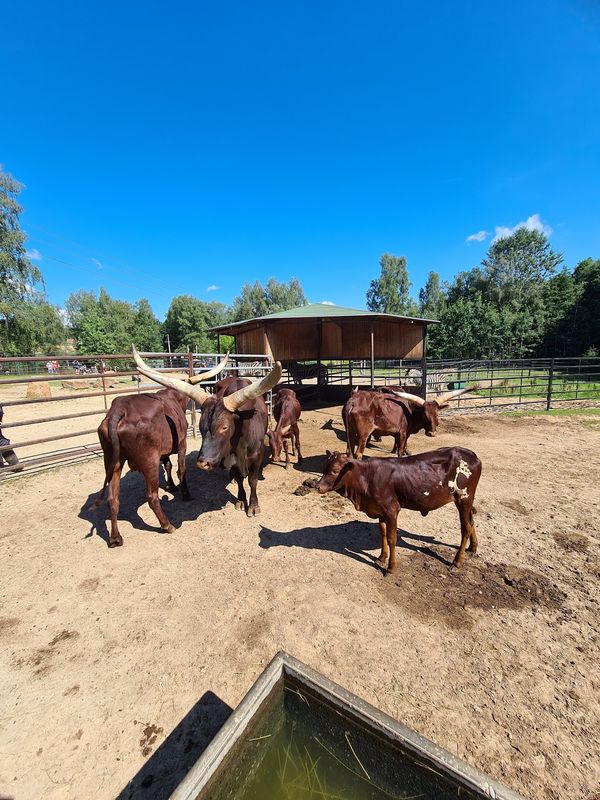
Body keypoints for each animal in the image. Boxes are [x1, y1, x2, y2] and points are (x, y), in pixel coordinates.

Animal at [95, 354, 229, 548]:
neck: (174, 397)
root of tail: (118, 411)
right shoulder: (181, 444)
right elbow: (181, 469)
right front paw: (185, 493)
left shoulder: (163, 451)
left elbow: (168, 465)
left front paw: (172, 486)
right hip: (148, 461)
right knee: (152, 496)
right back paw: (167, 525)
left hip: (112, 461)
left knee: (112, 498)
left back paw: (115, 538)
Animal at [132, 346, 282, 516]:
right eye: (201, 425)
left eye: (224, 427)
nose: (203, 463)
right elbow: (239, 478)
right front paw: (240, 499)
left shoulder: (257, 455)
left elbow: (253, 480)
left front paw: (254, 505)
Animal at [314, 450, 482, 576]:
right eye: (323, 467)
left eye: (335, 471)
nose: (317, 486)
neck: (366, 477)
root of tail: (471, 454)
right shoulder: (380, 510)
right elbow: (382, 533)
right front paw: (382, 557)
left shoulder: (392, 510)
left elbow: (391, 538)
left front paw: (391, 567)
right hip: (466, 501)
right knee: (472, 522)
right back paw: (472, 548)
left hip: (463, 498)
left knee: (466, 528)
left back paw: (457, 561)